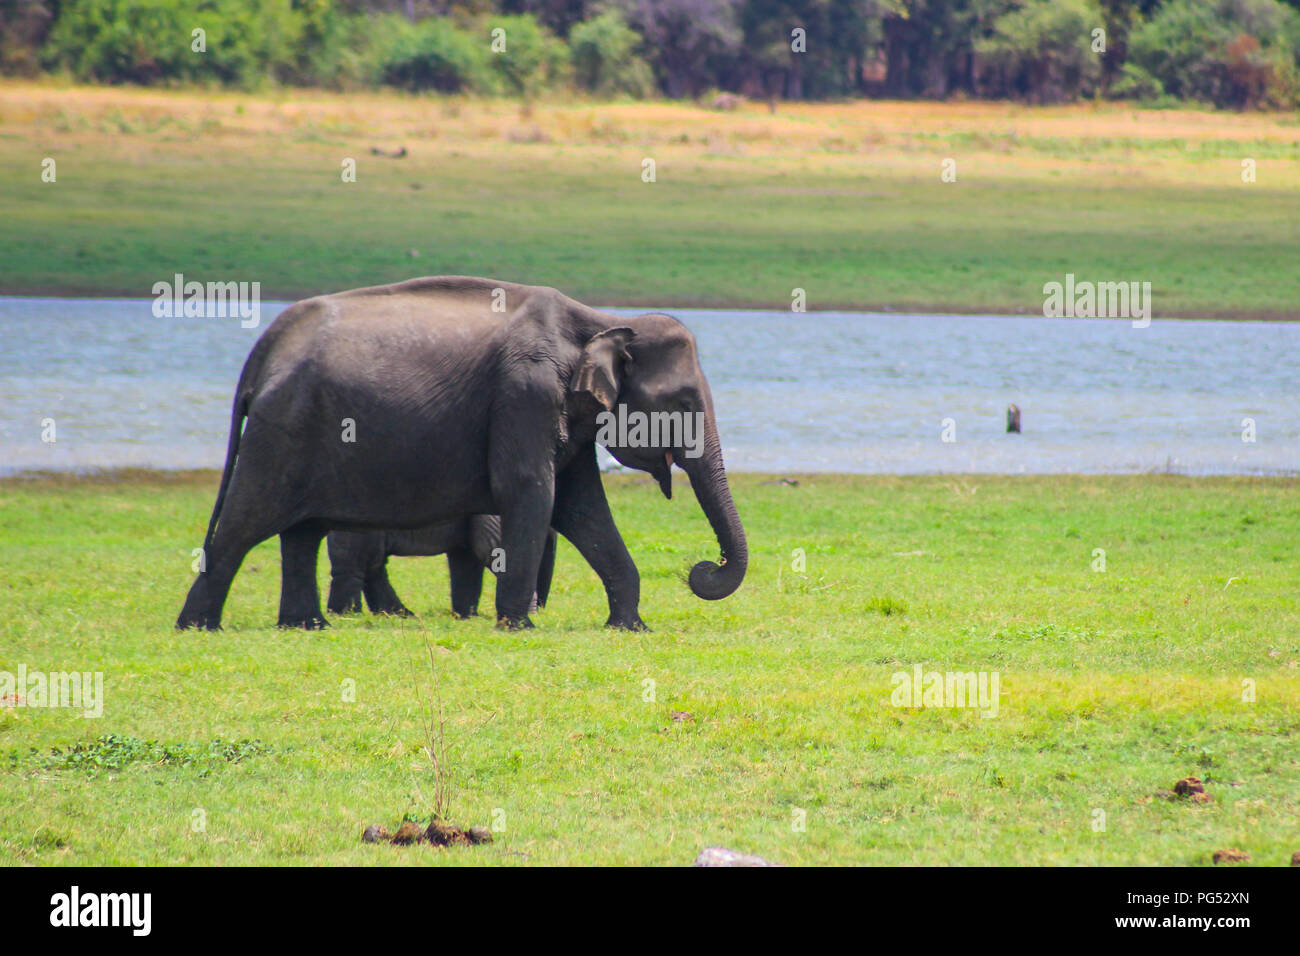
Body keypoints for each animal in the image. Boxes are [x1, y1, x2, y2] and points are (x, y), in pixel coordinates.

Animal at [323, 515, 553, 621]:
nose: (542, 608)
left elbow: (466, 558)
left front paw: (467, 617)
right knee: (357, 564)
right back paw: (345, 614)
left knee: (371, 565)